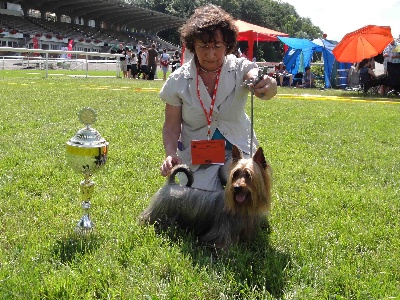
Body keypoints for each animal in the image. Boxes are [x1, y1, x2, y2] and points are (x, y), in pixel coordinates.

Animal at [140, 145, 272, 248]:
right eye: (235, 174)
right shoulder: (221, 233)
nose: (237, 187)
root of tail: (171, 184)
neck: (242, 206)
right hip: (159, 212)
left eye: (249, 175)